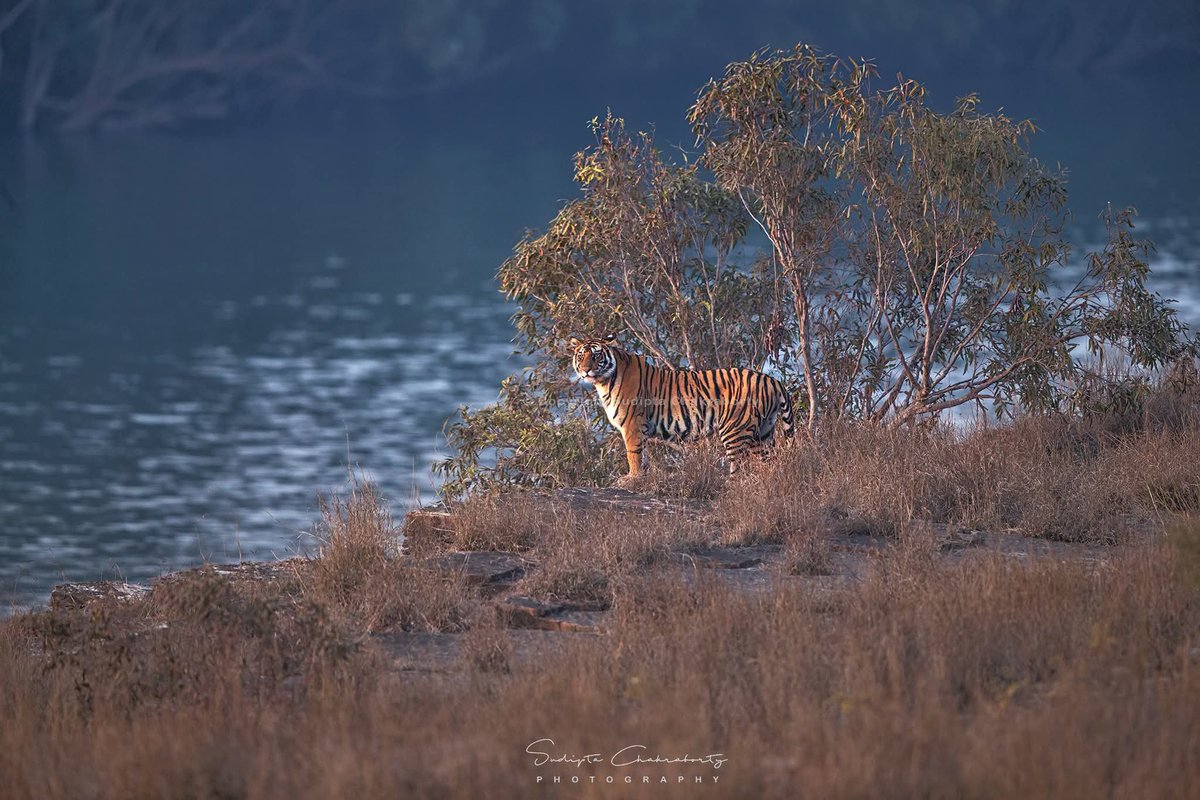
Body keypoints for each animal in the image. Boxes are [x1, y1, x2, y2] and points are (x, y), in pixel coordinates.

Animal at [570, 334, 795, 478]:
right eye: (581, 355)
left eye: (596, 355)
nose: (585, 370)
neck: (603, 381)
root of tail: (772, 380)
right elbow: (642, 456)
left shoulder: (632, 424)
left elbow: (633, 454)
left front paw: (631, 479)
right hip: (764, 432)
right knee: (767, 464)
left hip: (735, 430)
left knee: (739, 466)